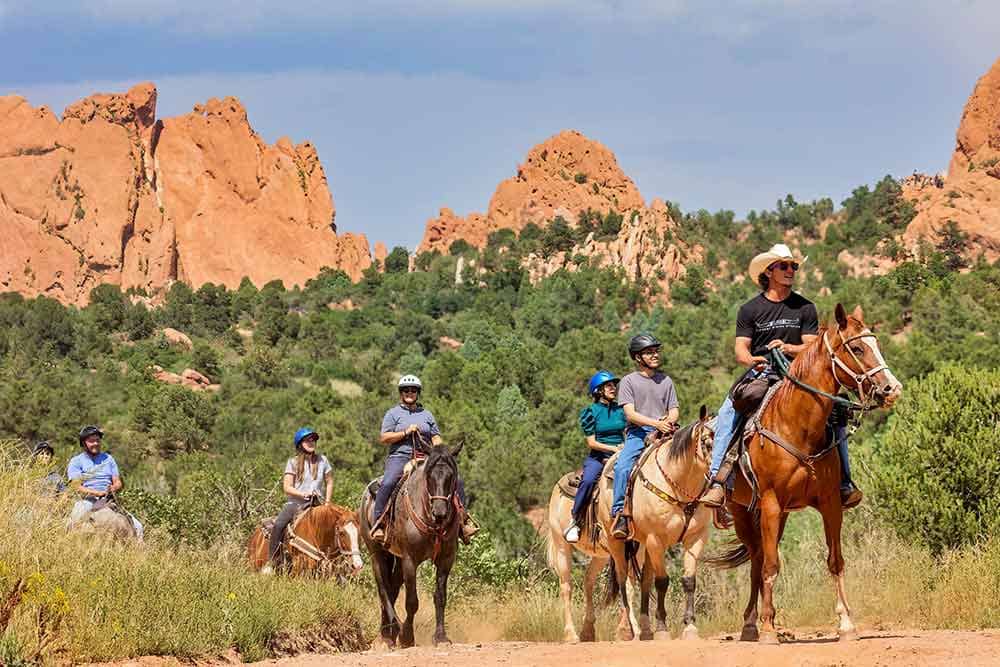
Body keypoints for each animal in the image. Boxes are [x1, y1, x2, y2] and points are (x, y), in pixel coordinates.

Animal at [360, 438, 464, 648]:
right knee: (383, 588)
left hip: (397, 560)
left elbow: (440, 597)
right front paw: (407, 635)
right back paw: (392, 631)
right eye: (429, 476)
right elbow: (412, 601)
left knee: (391, 589)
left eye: (451, 476)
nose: (440, 512)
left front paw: (441, 637)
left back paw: (388, 633)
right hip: (377, 553)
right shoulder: (410, 560)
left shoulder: (446, 559)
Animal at [712, 306, 908, 644]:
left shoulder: (829, 504)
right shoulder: (771, 503)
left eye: (876, 343)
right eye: (857, 348)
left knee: (758, 559)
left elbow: (835, 560)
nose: (891, 388)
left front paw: (846, 624)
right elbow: (772, 565)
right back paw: (753, 623)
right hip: (743, 512)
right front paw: (768, 630)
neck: (798, 427)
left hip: (778, 516)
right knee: (758, 559)